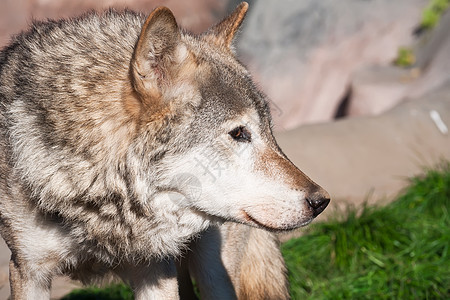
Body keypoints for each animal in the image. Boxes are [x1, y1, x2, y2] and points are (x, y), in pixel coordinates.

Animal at [0, 1, 328, 298]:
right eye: (239, 133)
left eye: (270, 132)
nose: (321, 201)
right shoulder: (27, 271)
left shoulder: (156, 269)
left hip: (213, 271)